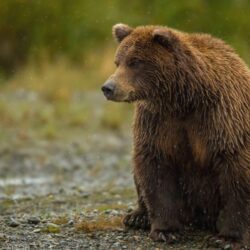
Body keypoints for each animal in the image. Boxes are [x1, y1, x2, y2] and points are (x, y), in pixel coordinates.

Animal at [100, 23, 249, 248]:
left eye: (135, 62)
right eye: (118, 61)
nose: (108, 88)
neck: (184, 99)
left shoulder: (222, 118)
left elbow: (236, 173)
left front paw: (229, 238)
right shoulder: (158, 122)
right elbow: (156, 169)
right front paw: (166, 230)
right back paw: (137, 216)